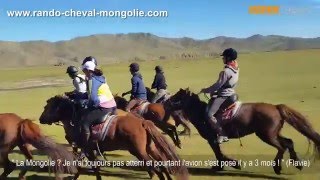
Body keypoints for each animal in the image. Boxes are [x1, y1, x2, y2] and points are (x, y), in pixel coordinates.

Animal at [38, 95, 189, 179]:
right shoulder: (89, 150)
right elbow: (92, 167)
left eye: (46, 107)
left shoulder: (87, 149)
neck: (76, 119)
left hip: (140, 151)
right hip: (148, 148)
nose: (40, 119)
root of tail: (142, 122)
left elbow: (88, 167)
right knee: (162, 164)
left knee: (156, 167)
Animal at [171, 88, 320, 174]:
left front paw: (232, 165)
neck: (202, 113)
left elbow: (219, 153)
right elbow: (219, 153)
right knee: (288, 142)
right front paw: (221, 166)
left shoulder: (212, 139)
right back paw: (297, 164)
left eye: (178, 96)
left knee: (281, 147)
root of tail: (276, 107)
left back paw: (277, 167)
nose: (168, 101)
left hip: (266, 135)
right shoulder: (213, 140)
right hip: (274, 133)